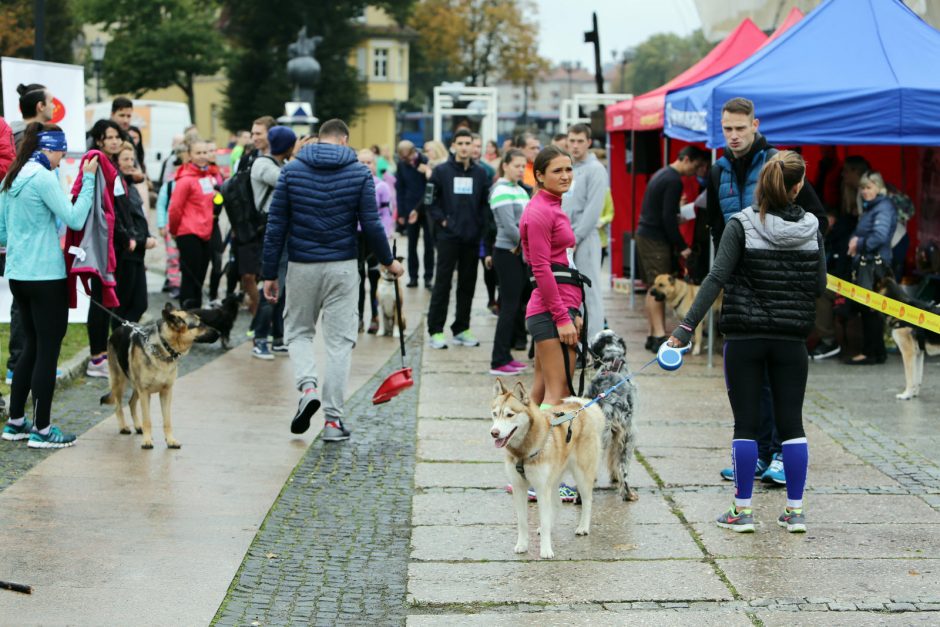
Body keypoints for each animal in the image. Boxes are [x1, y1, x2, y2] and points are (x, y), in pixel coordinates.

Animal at [488, 378, 604, 560]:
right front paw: (522, 545)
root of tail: (580, 407)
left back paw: (583, 527)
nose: (494, 432)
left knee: (587, 500)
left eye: (510, 415)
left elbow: (544, 518)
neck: (523, 451)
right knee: (557, 503)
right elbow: (522, 522)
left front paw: (546, 550)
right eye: (494, 414)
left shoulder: (541, 488)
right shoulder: (519, 488)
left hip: (582, 475)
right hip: (553, 478)